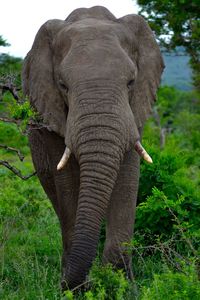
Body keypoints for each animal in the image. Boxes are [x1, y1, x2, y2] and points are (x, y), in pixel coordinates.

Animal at [22, 5, 165, 290]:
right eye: (63, 85)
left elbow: (128, 177)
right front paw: (77, 289)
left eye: (131, 82)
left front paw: (119, 284)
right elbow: (67, 183)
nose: (72, 285)